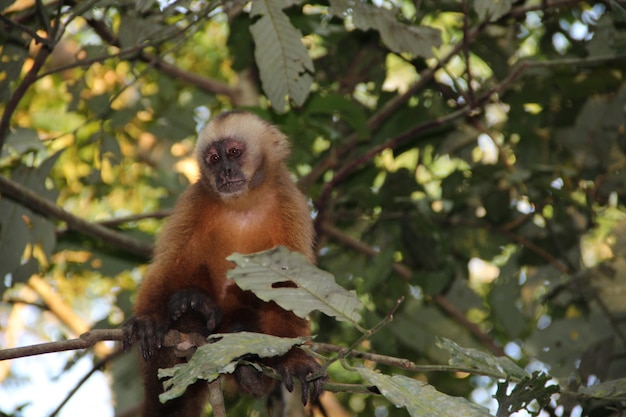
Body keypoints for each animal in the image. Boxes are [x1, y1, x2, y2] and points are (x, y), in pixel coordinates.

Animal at [123, 110, 326, 416]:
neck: (243, 204)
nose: (225, 172)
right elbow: (170, 264)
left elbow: (288, 287)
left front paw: (294, 359)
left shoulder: (291, 204)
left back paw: (250, 373)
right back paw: (191, 312)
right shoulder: (194, 200)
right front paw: (148, 319)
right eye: (214, 159)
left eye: (233, 152)